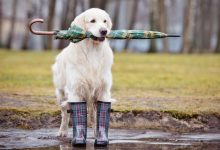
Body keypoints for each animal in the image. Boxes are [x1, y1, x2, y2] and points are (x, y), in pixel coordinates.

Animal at [51, 7, 115, 137]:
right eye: (92, 21)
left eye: (105, 21)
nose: (104, 31)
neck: (93, 51)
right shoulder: (76, 90)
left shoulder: (104, 91)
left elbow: (98, 117)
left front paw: (100, 135)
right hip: (60, 93)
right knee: (65, 114)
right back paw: (62, 131)